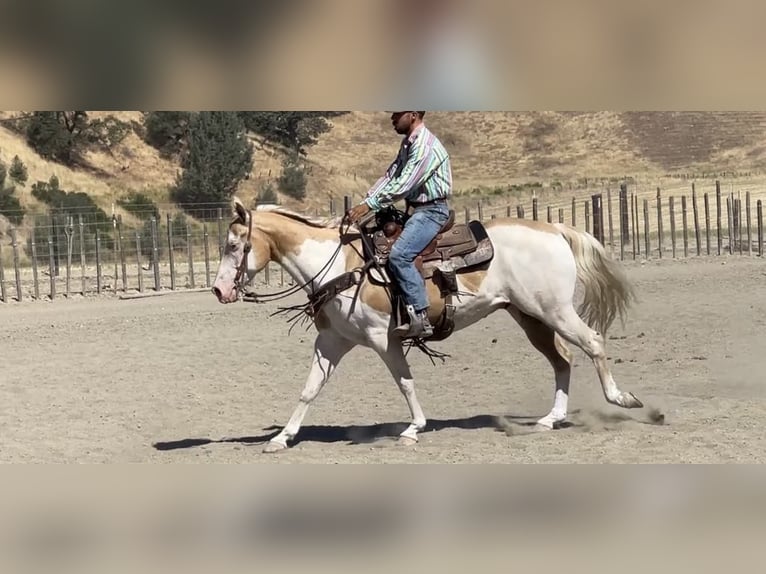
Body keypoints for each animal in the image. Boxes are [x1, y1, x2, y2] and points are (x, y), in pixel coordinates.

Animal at [212, 196, 643, 453]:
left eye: (234, 246)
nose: (218, 290)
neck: (338, 265)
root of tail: (556, 230)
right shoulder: (332, 341)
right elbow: (309, 390)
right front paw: (281, 438)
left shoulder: (384, 339)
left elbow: (404, 381)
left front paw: (413, 428)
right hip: (530, 316)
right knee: (562, 358)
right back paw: (550, 419)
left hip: (554, 310)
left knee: (592, 342)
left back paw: (622, 399)